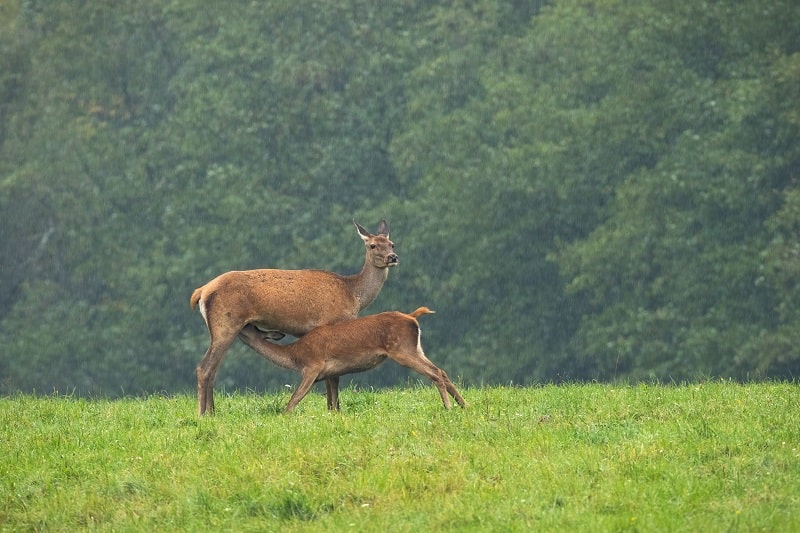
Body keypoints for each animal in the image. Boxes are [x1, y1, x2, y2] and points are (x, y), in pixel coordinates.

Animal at [188, 220, 400, 416]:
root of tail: (202, 291)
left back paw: (212, 412)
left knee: (213, 369)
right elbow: (333, 376)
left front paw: (331, 409)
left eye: (392, 244)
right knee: (205, 368)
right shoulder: (331, 323)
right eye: (372, 245)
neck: (354, 296)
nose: (393, 257)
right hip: (226, 323)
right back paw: (202, 414)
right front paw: (334, 410)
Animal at [238, 306, 466, 410]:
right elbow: (333, 405)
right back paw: (464, 406)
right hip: (416, 349)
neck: (295, 356)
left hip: (402, 350)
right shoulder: (330, 373)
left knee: (435, 373)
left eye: (248, 326)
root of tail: (412, 317)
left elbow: (294, 400)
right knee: (442, 371)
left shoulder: (313, 366)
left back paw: (448, 407)